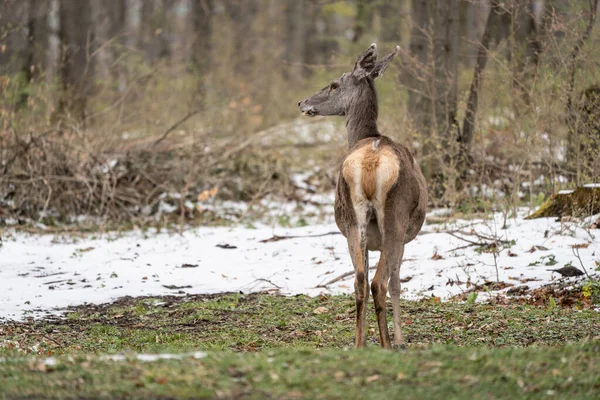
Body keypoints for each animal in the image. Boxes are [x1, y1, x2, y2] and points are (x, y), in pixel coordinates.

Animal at [298, 43, 428, 350]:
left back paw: (359, 344)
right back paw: (387, 345)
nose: (302, 102)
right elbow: (397, 284)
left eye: (334, 84)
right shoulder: (404, 238)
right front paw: (401, 340)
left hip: (350, 221)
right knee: (379, 283)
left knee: (360, 280)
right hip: (395, 219)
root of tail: (371, 162)